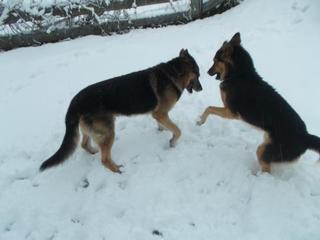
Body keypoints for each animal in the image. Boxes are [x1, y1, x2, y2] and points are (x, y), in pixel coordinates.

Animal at [39, 49, 200, 172]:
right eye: (197, 75)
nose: (202, 89)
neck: (173, 73)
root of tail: (75, 102)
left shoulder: (159, 115)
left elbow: (166, 125)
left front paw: (162, 130)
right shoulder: (160, 113)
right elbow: (177, 130)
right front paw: (172, 142)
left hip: (92, 130)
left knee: (84, 144)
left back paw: (94, 151)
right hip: (108, 131)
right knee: (104, 159)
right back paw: (116, 169)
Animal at [198, 33, 320, 172]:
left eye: (215, 61)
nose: (207, 72)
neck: (239, 74)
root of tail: (305, 137)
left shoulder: (231, 112)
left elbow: (209, 108)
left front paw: (200, 121)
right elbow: (209, 108)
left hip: (264, 150)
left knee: (266, 169)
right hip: (268, 144)